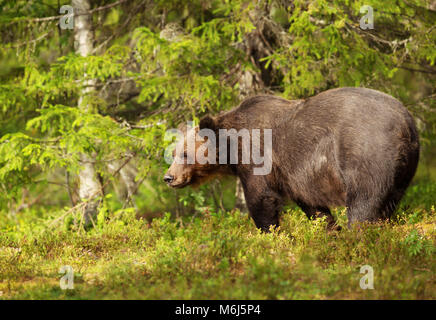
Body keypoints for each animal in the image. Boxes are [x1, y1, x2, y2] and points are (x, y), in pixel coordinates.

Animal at [164, 87, 418, 232]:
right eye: (173, 153)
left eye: (185, 153)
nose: (168, 177)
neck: (232, 146)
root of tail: (406, 121)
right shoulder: (295, 176)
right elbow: (313, 207)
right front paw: (328, 231)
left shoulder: (258, 156)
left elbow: (261, 199)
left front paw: (272, 235)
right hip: (402, 171)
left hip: (366, 154)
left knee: (363, 203)